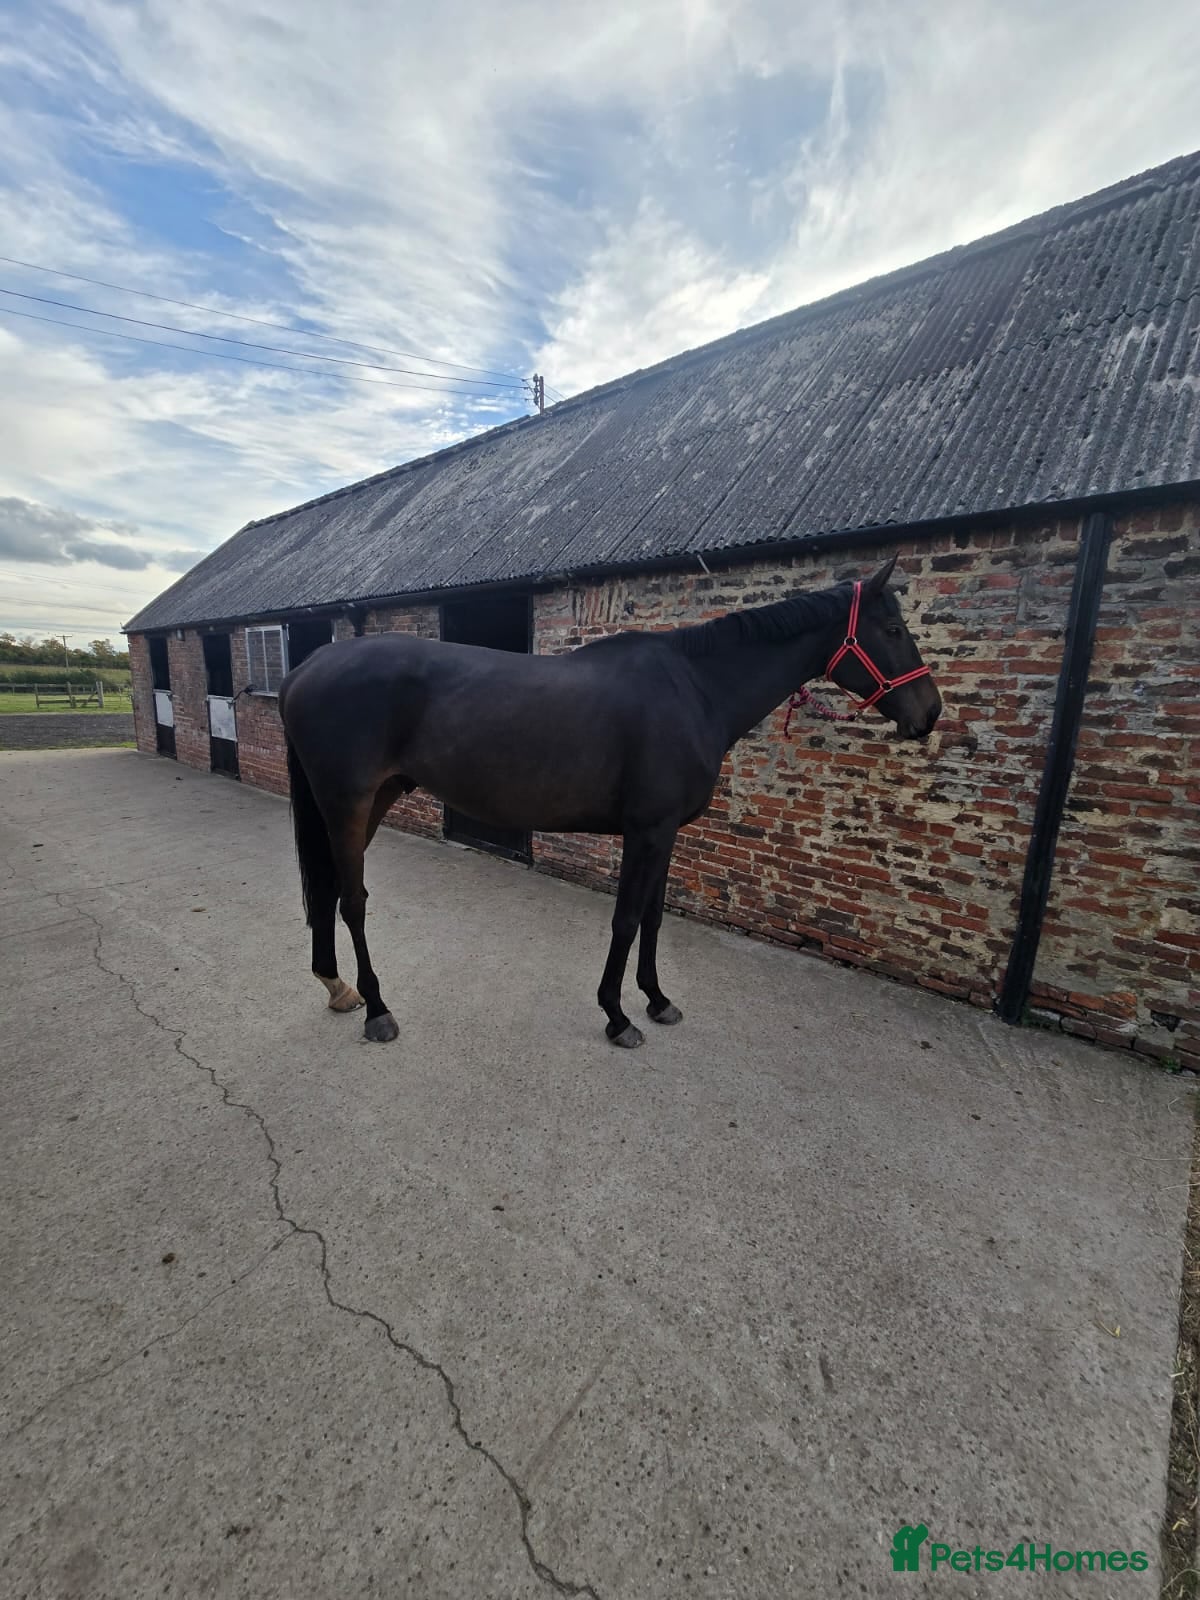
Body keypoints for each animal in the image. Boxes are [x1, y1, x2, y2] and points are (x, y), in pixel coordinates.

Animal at [278, 555, 941, 1047]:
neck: (694, 689)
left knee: (330, 888)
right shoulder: (647, 829)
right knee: (353, 900)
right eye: (892, 631)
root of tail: (307, 667)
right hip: (347, 803)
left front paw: (657, 999)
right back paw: (377, 1009)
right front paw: (617, 1015)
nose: (929, 714)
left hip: (370, 801)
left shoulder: (666, 831)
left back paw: (338, 988)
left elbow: (652, 916)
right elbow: (626, 918)